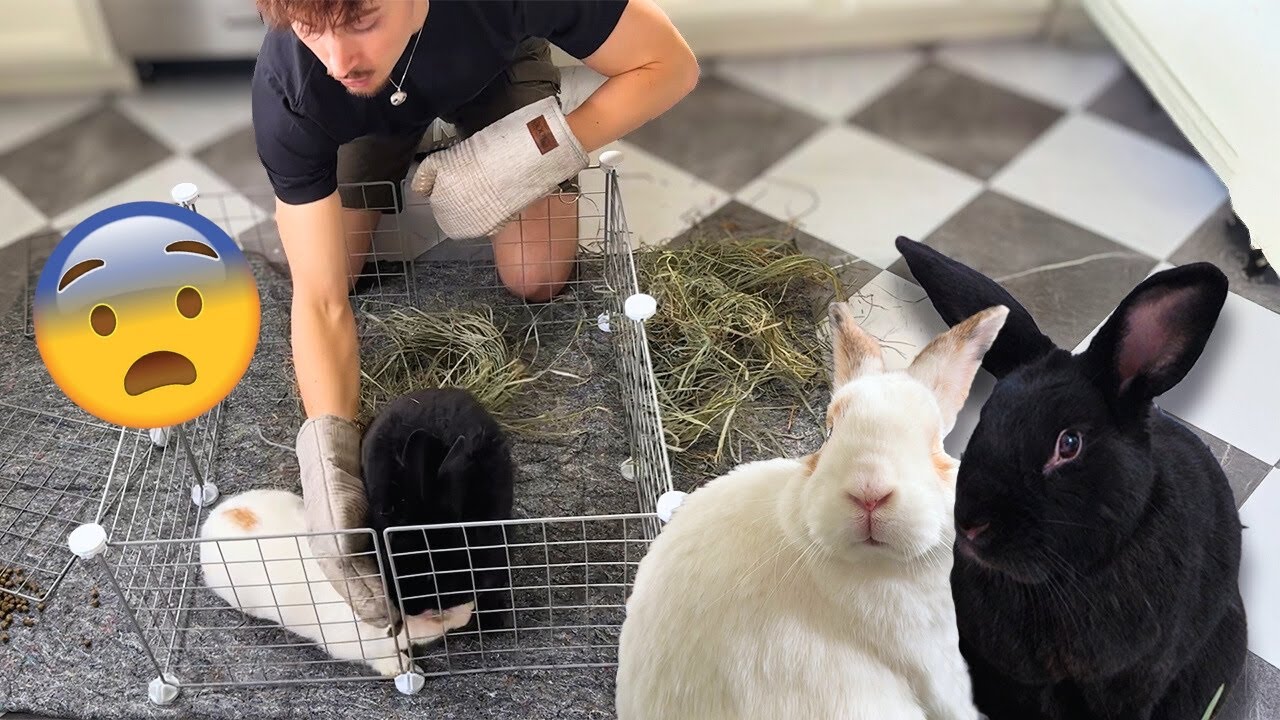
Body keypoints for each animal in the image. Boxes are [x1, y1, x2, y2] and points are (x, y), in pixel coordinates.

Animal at [893, 235, 1248, 720]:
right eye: (985, 418)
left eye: (1070, 444)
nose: (970, 524)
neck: (1057, 583)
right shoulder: (1018, 680)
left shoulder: (1133, 681)